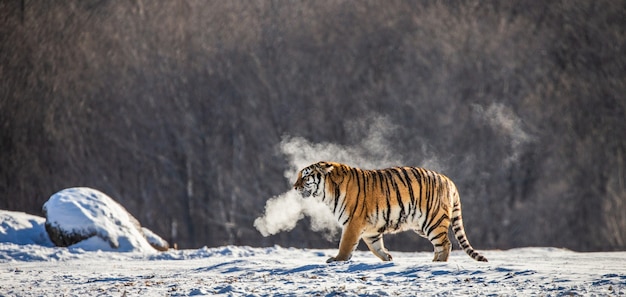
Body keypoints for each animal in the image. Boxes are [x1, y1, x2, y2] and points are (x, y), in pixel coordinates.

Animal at [292, 162, 488, 262]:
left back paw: (439, 264)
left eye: (305, 176)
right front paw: (387, 257)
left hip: (433, 221)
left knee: (446, 243)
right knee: (440, 245)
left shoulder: (352, 223)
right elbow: (375, 247)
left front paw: (337, 259)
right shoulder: (369, 230)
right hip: (422, 226)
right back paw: (434, 261)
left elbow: (345, 245)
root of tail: (448, 180)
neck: (328, 192)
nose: (294, 187)